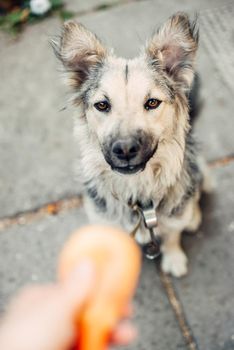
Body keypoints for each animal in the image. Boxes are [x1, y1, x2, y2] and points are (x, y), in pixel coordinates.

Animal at [53, 12, 210, 278]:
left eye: (152, 102)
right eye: (102, 105)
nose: (125, 149)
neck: (137, 194)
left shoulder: (172, 221)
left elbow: (172, 236)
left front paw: (174, 258)